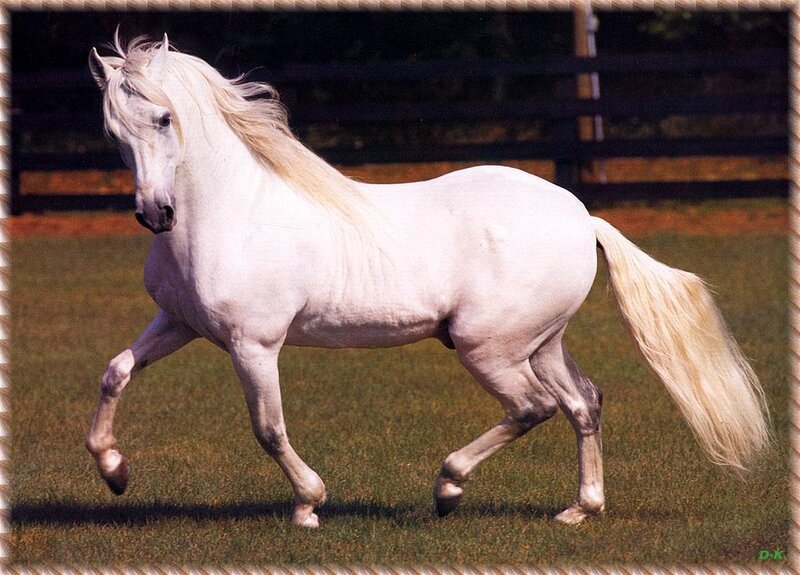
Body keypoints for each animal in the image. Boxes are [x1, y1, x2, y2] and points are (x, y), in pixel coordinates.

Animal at [86, 34, 771, 528]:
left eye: (165, 118)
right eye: (114, 131)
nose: (155, 213)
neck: (234, 212)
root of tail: (582, 216)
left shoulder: (254, 344)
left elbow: (269, 429)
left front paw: (309, 505)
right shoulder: (178, 324)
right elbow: (115, 372)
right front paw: (115, 471)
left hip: (488, 347)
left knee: (533, 407)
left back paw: (448, 488)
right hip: (540, 343)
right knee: (583, 403)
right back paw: (579, 510)